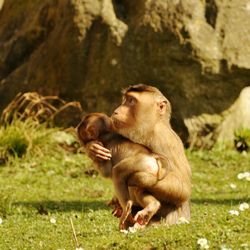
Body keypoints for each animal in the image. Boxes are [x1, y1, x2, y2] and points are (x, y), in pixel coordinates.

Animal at [88, 84, 191, 225]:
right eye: (125, 100)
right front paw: (93, 148)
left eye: (131, 101)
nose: (116, 111)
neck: (147, 131)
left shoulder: (163, 140)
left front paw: (139, 178)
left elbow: (183, 190)